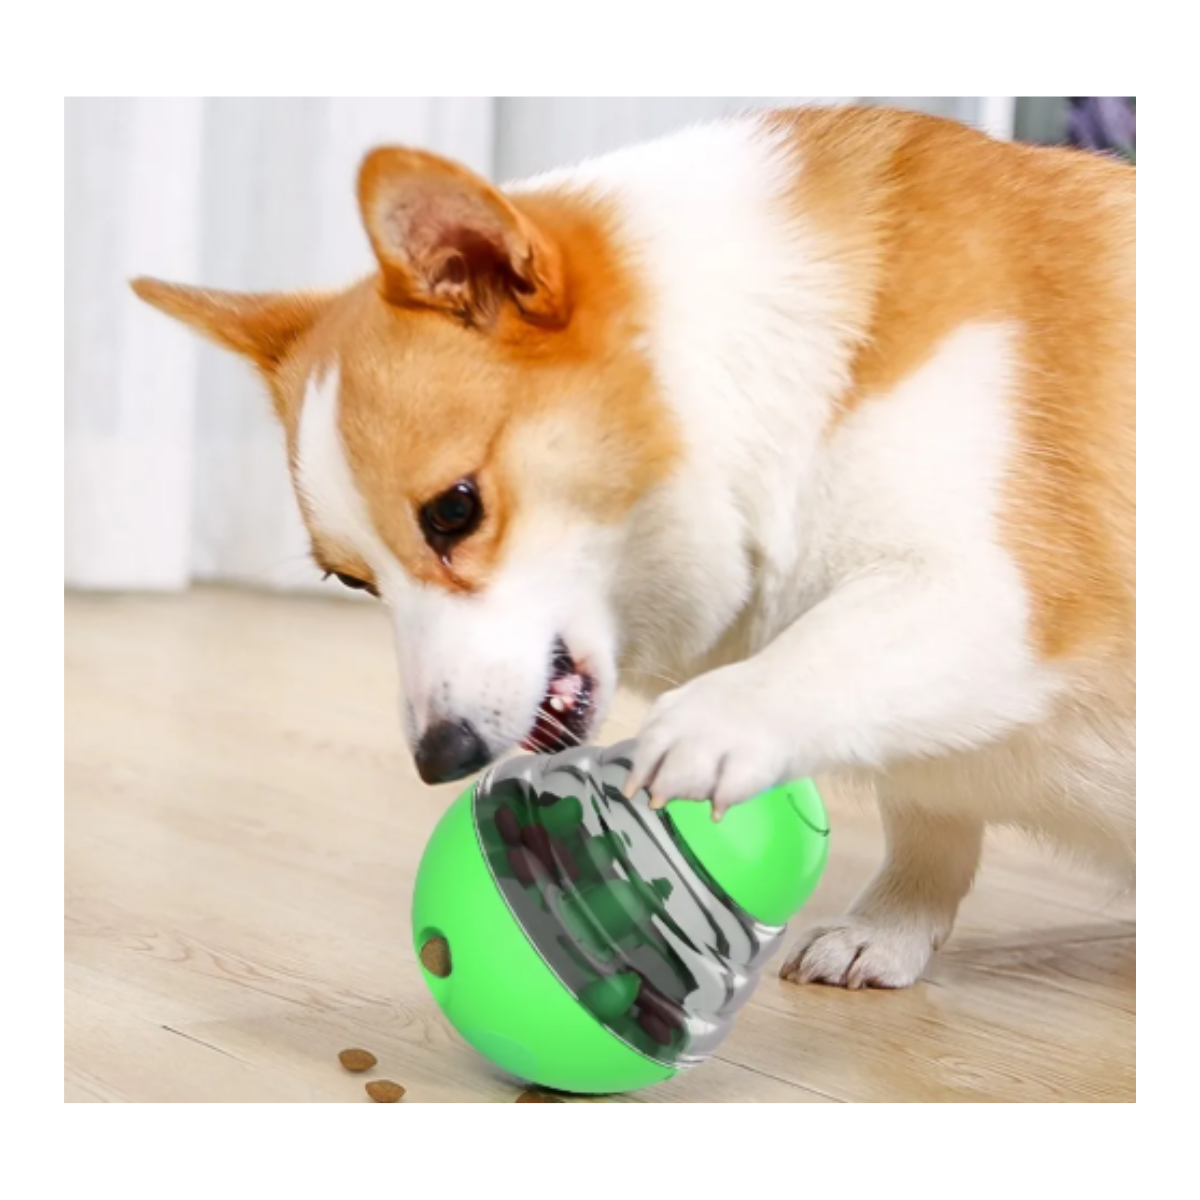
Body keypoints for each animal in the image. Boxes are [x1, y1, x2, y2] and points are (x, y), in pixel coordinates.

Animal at [133, 105, 1132, 984]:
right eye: (351, 582)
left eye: (453, 510)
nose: (439, 760)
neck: (745, 377)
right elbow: (929, 821)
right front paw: (886, 932)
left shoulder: (995, 592)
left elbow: (821, 654)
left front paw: (708, 731)